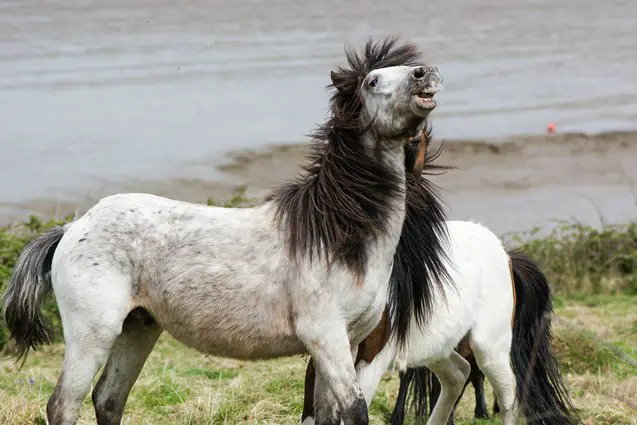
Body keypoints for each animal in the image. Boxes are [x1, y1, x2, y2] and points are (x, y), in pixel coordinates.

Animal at [3, 36, 442, 424]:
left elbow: (329, 415)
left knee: (109, 400)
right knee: (63, 406)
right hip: (92, 335)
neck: (334, 235)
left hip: (138, 328)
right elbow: (354, 411)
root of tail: (72, 228)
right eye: (373, 81)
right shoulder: (327, 339)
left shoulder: (346, 343)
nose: (425, 74)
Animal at [302, 202, 576, 424]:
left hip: (488, 347)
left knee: (508, 394)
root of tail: (506, 255)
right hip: (436, 348)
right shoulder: (324, 361)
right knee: (458, 374)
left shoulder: (370, 361)